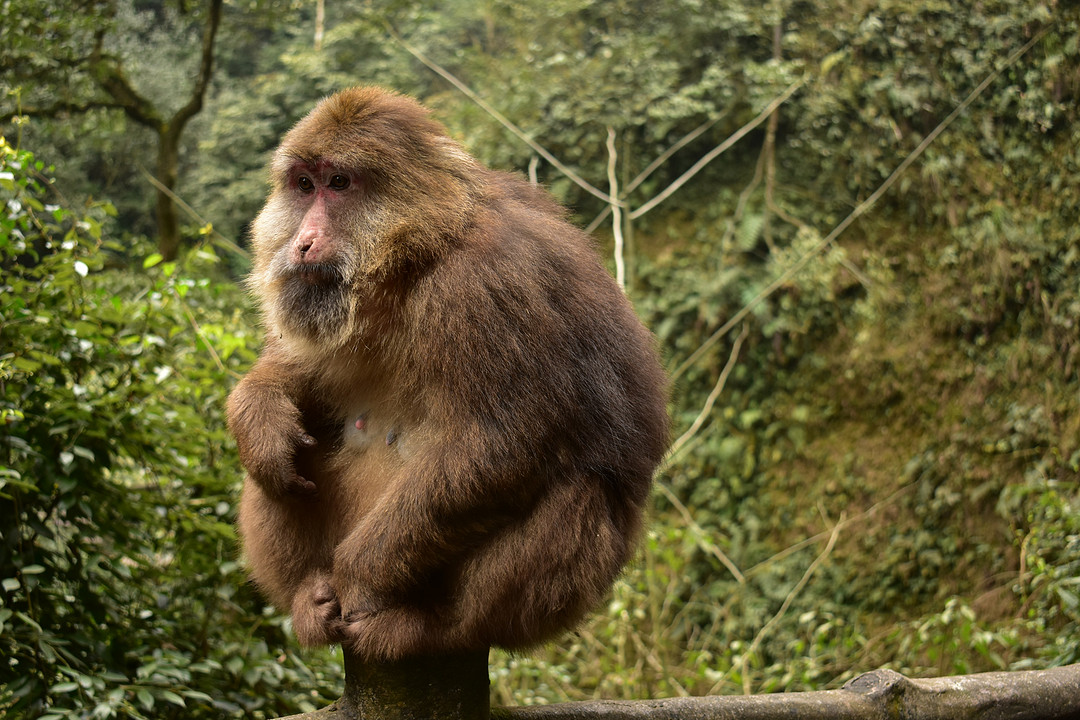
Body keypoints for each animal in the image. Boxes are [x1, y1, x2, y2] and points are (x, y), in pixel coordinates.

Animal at [225, 87, 665, 660]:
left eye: (339, 183)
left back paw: (433, 626)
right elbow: (293, 370)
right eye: (304, 185)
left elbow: (502, 444)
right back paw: (307, 596)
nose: (303, 241)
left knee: (578, 489)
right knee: (280, 472)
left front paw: (359, 576)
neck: (415, 261)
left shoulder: (482, 285)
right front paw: (258, 414)